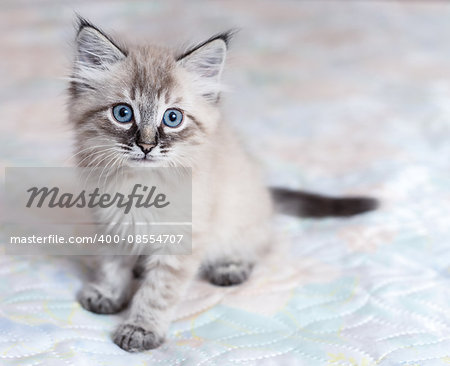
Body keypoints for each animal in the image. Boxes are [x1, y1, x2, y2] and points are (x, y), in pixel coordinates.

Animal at [67, 17, 376, 352]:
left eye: (172, 118)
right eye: (123, 113)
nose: (147, 146)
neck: (141, 185)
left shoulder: (183, 240)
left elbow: (158, 292)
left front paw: (140, 328)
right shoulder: (112, 224)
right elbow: (111, 266)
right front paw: (107, 294)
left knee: (260, 245)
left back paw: (230, 267)